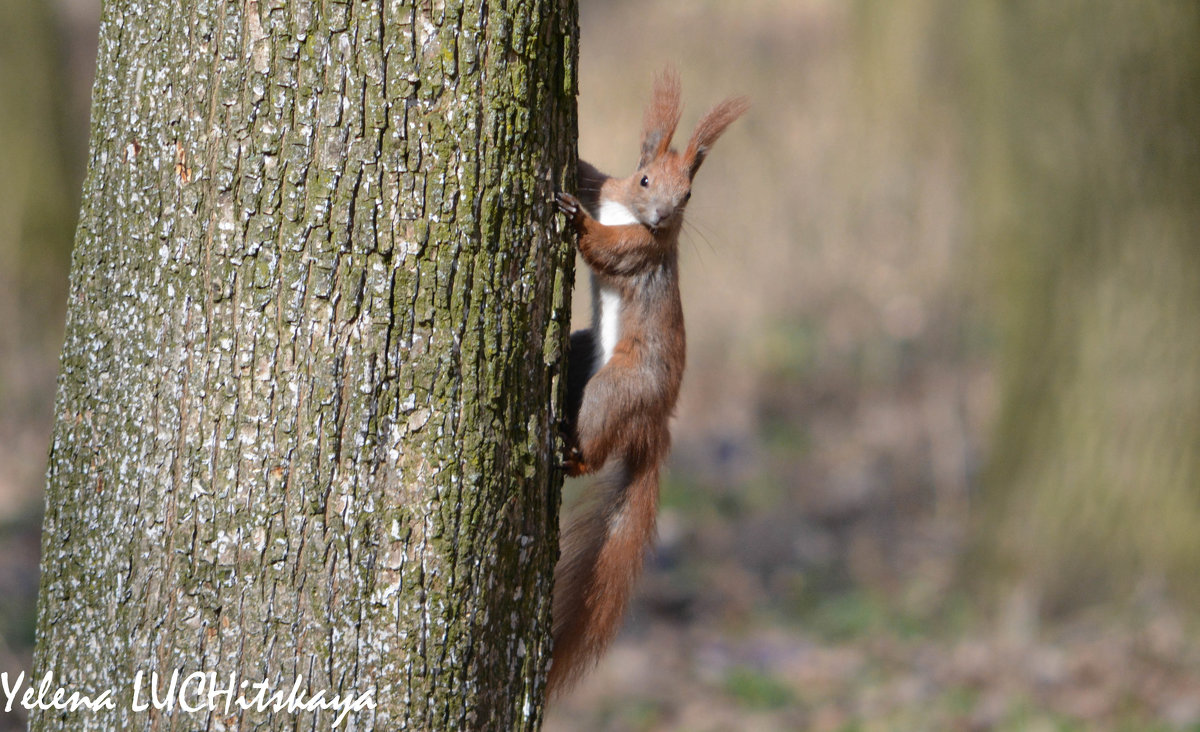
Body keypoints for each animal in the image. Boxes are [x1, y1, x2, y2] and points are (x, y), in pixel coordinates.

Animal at [549, 69, 744, 696]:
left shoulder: (641, 252)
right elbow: (590, 175)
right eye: (644, 178)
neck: (627, 213)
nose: (660, 216)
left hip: (617, 388)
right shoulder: (608, 187)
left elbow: (608, 250)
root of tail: (657, 422)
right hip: (584, 351)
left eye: (688, 196)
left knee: (594, 447)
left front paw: (577, 221)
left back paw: (570, 455)